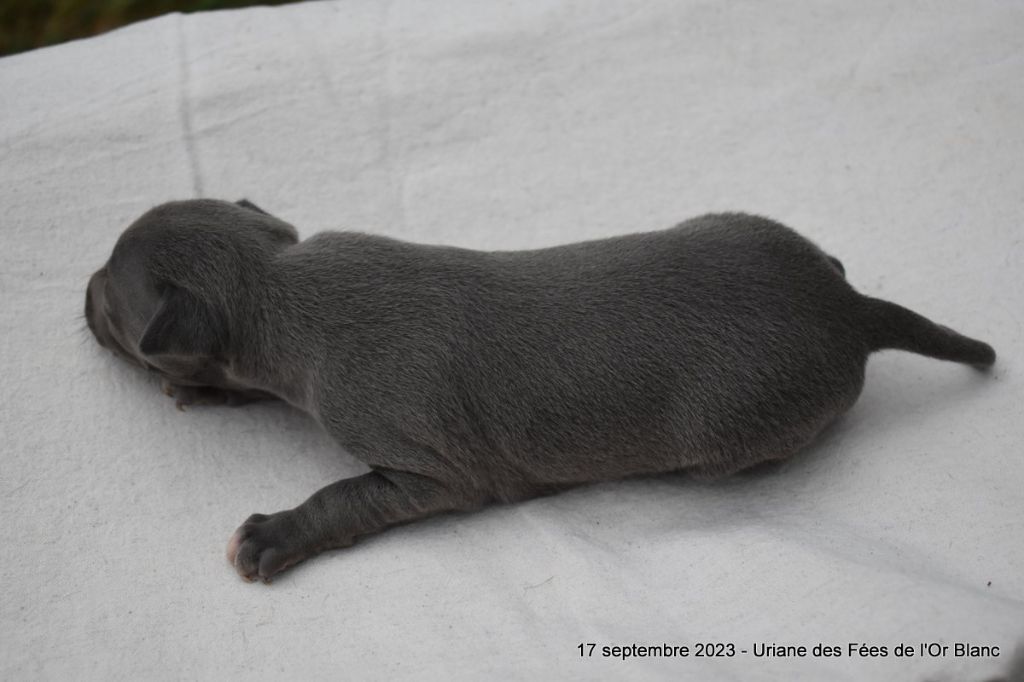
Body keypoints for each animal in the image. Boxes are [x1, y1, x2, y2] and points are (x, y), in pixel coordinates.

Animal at [84, 199, 996, 582]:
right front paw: (214, 394)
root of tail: (850, 309)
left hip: (735, 429)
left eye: (109, 300)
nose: (77, 295)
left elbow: (348, 495)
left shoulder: (430, 469)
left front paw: (273, 533)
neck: (280, 282)